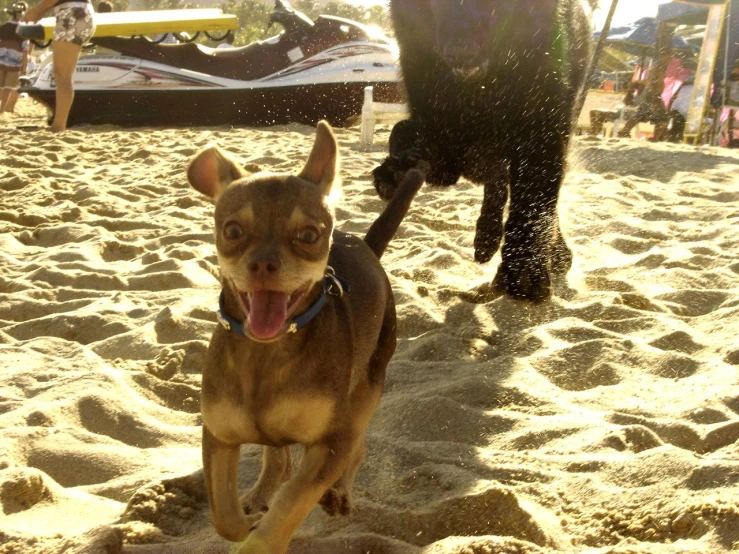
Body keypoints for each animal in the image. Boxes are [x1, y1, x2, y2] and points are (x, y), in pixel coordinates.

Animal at [188, 122, 422, 552]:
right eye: (232, 231)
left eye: (309, 235)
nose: (263, 263)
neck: (265, 353)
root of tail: (364, 245)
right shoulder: (219, 436)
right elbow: (223, 513)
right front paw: (245, 522)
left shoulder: (332, 442)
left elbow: (292, 501)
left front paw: (260, 540)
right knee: (277, 457)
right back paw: (259, 494)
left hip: (369, 387)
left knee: (357, 448)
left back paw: (339, 493)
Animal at [376, 1, 596, 302]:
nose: (461, 51)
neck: (481, 90)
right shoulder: (442, 141)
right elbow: (400, 131)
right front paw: (395, 169)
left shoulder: (542, 133)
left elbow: (533, 199)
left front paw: (523, 272)